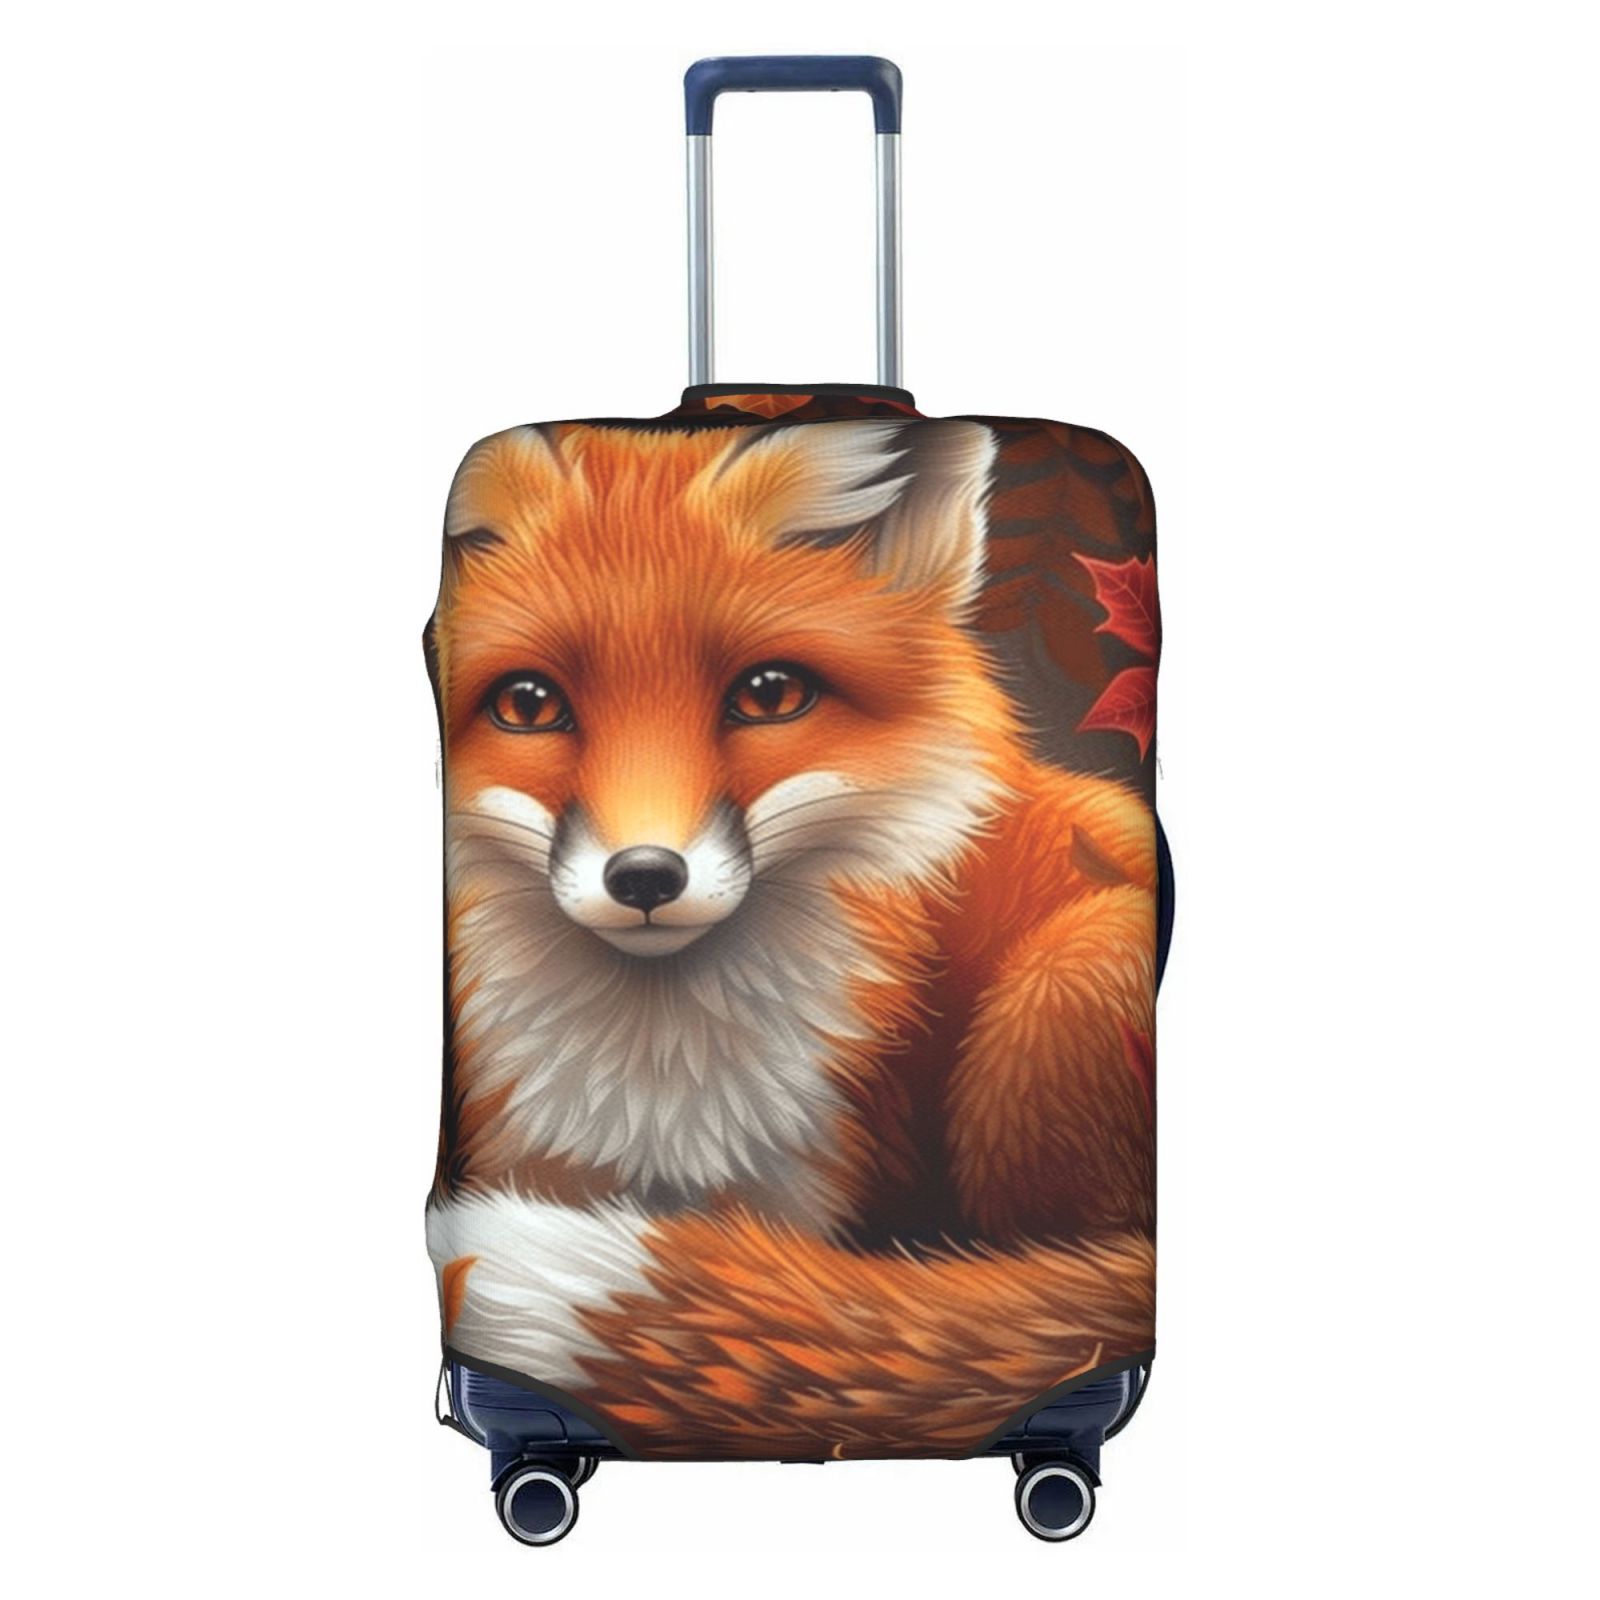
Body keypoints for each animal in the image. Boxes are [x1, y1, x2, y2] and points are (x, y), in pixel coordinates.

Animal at [425, 415, 1157, 1459]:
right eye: (529, 703)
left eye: (769, 694)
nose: (644, 878)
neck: (664, 1105)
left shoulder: (814, 1189)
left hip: (1054, 998)